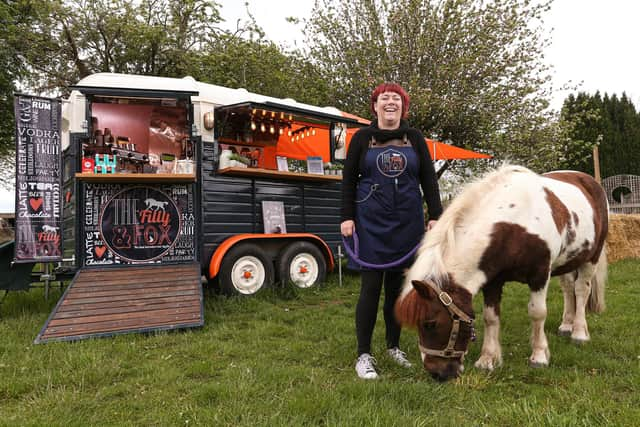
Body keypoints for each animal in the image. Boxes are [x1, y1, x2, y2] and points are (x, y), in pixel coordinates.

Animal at [396, 166, 608, 382]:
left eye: (430, 324)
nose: (437, 373)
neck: (515, 223)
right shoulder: (492, 280)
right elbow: (490, 317)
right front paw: (487, 360)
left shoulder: (540, 275)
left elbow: (538, 313)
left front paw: (539, 356)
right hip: (567, 261)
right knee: (568, 288)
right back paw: (566, 325)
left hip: (591, 257)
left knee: (581, 290)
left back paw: (579, 333)